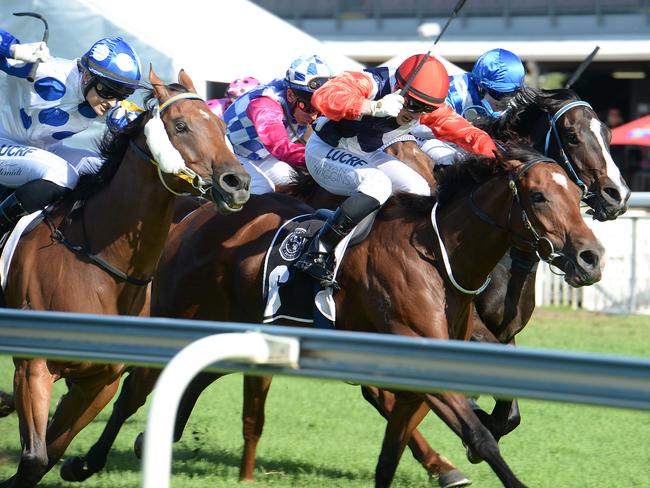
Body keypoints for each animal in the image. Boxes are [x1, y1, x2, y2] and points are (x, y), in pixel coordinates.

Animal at [0, 67, 251, 488]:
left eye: (221, 125)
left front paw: (76, 464)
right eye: (180, 125)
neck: (97, 263)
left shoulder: (100, 380)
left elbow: (51, 452)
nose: (238, 183)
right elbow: (35, 458)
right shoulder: (34, 366)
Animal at [87, 147, 604, 486]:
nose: (590, 257)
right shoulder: (413, 346)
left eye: (575, 194)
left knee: (187, 383)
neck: (436, 255)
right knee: (133, 391)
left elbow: (391, 453)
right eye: (538, 197)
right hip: (182, 315)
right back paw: (87, 460)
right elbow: (480, 437)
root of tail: (194, 217)